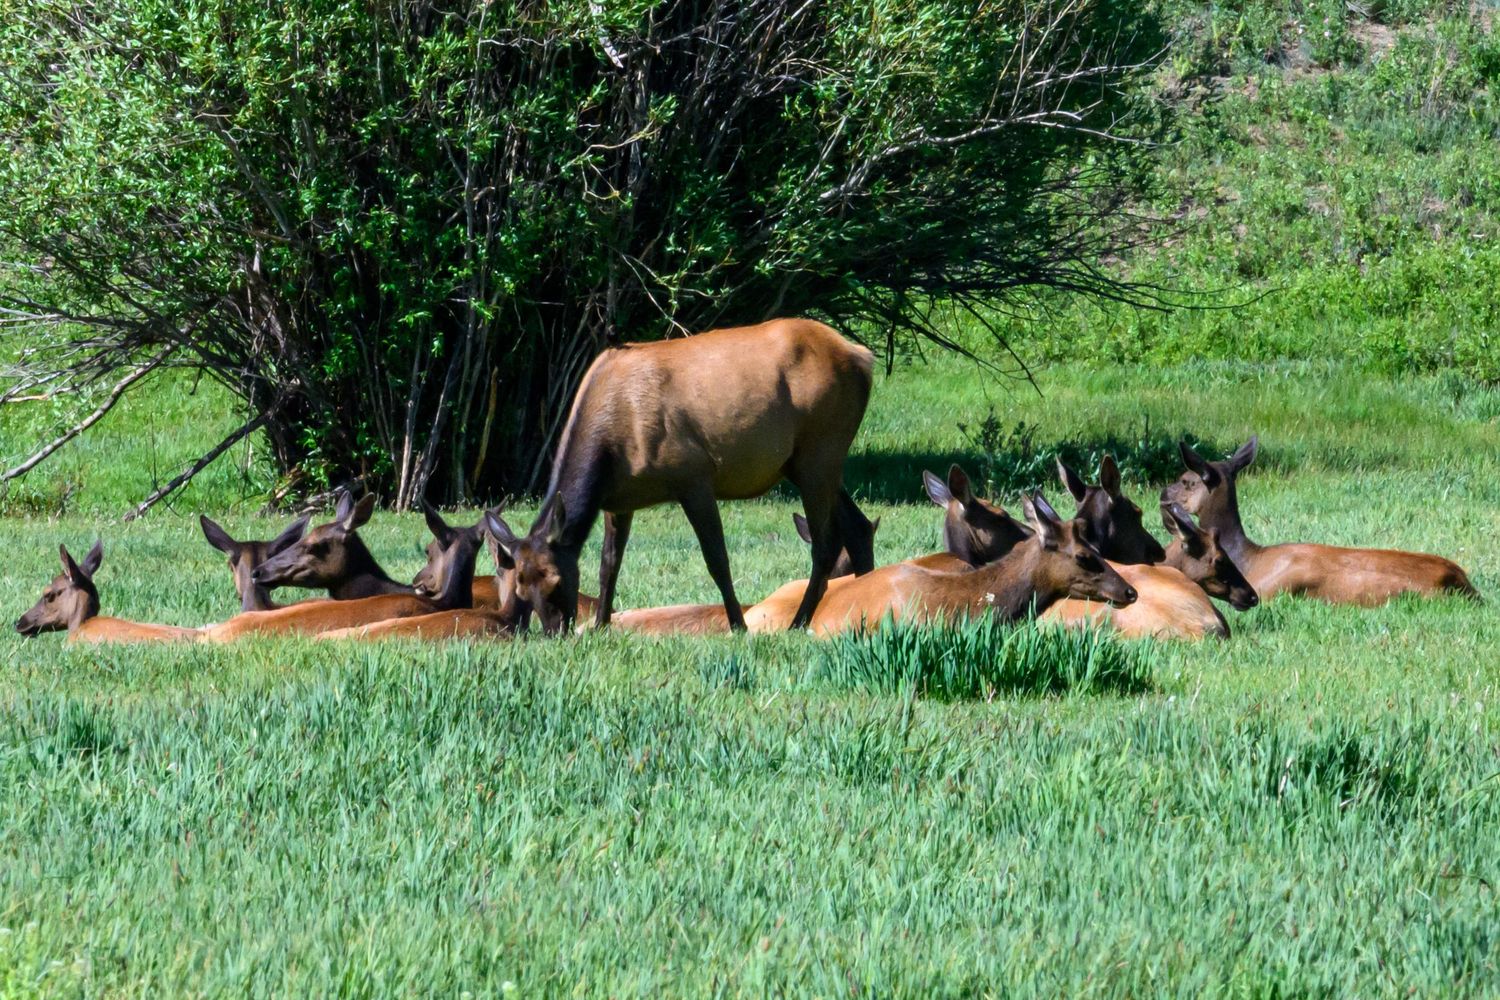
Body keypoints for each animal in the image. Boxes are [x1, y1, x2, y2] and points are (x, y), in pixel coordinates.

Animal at [485, 318, 875, 635]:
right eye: (520, 587)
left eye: (555, 582)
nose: (555, 632)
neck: (610, 450)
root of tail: (863, 357)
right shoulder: (618, 499)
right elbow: (609, 564)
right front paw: (600, 625)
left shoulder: (693, 476)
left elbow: (716, 558)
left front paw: (738, 625)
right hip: (807, 463)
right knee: (858, 526)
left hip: (820, 449)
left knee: (825, 543)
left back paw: (798, 622)